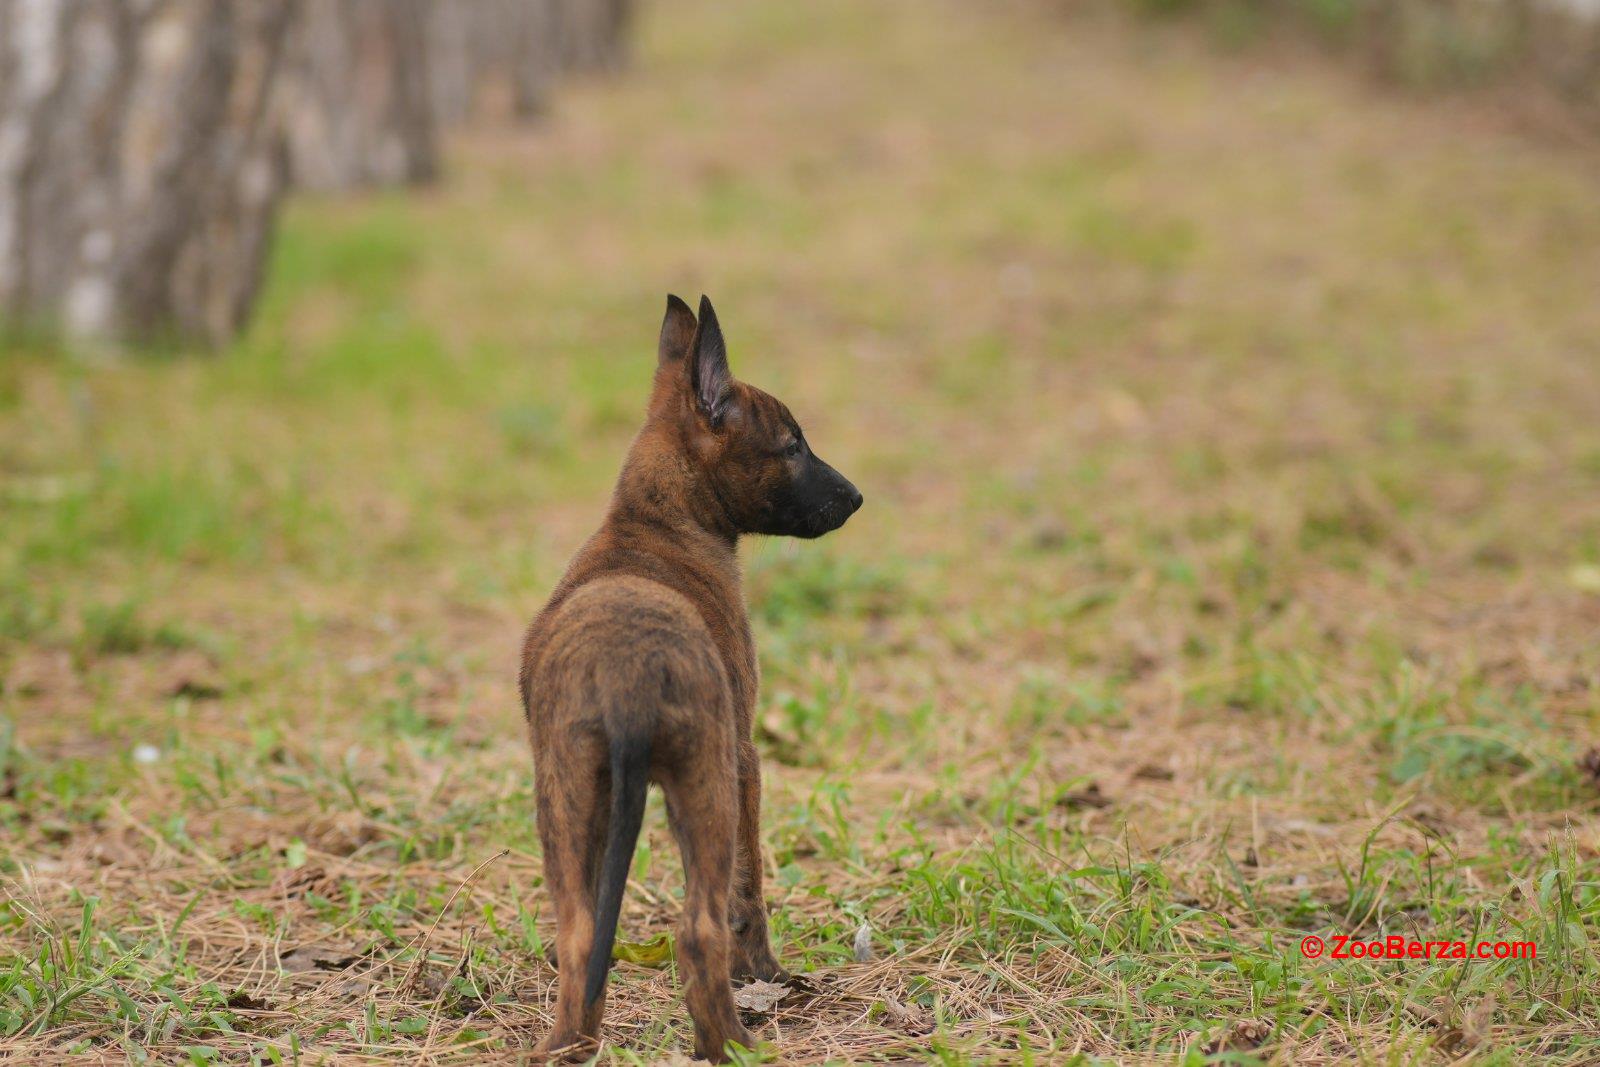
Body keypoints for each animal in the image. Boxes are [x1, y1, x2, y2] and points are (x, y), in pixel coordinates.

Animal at [521, 294, 864, 1062]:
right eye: (792, 446)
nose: (857, 497)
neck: (654, 521)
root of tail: (624, 677)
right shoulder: (745, 760)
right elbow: (749, 891)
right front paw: (767, 974)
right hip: (704, 789)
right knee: (700, 930)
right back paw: (736, 1043)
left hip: (565, 794)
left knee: (579, 934)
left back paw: (567, 1045)